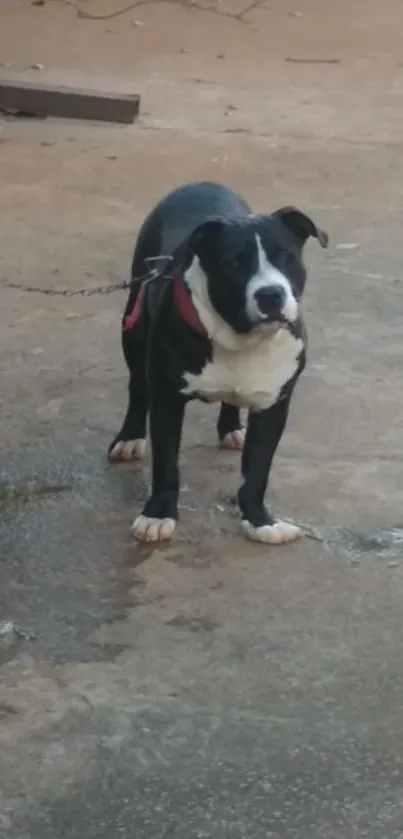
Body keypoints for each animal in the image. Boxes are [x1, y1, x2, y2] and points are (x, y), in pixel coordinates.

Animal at [109, 180, 328, 544]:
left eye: (286, 257)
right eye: (234, 263)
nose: (270, 294)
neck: (241, 338)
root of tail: (199, 183)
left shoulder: (274, 404)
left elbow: (258, 469)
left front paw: (260, 522)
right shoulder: (167, 398)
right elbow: (166, 464)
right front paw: (157, 515)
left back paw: (231, 427)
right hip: (134, 323)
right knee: (137, 385)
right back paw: (129, 437)